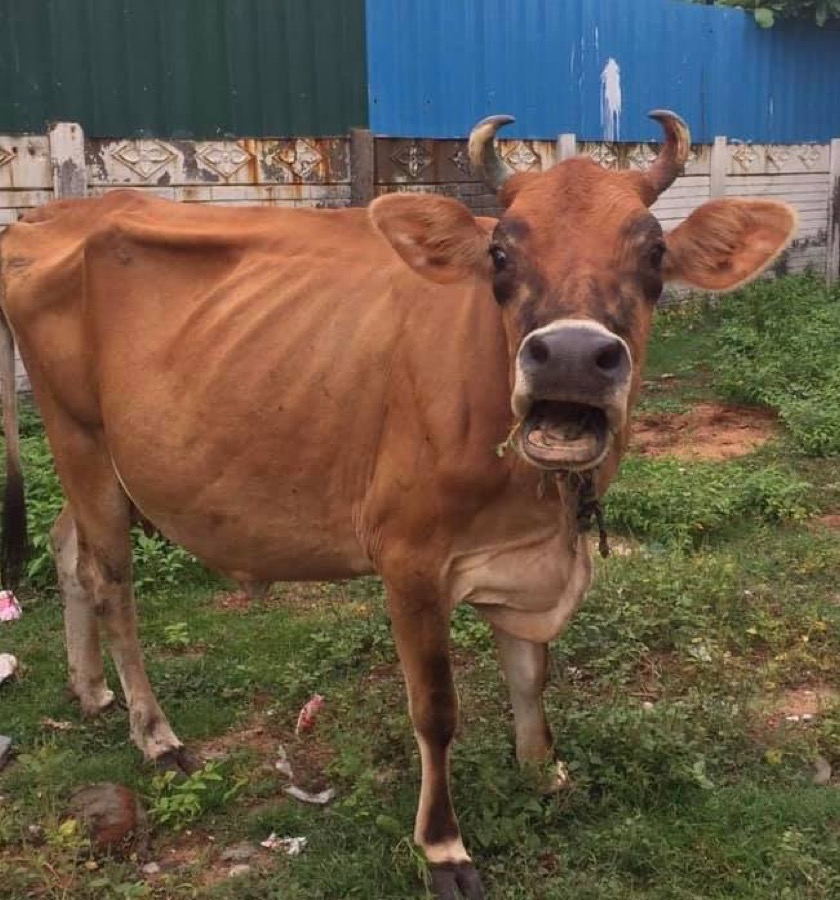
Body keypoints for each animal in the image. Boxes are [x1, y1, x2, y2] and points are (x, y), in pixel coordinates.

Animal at [0, 112, 795, 898]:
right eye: (500, 254)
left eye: (655, 253)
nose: (570, 358)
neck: (537, 501)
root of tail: (45, 217)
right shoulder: (409, 559)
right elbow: (436, 711)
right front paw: (444, 847)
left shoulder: (524, 555)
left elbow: (530, 673)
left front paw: (544, 770)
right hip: (80, 439)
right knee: (111, 582)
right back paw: (155, 733)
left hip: (103, 465)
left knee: (68, 550)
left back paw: (90, 691)